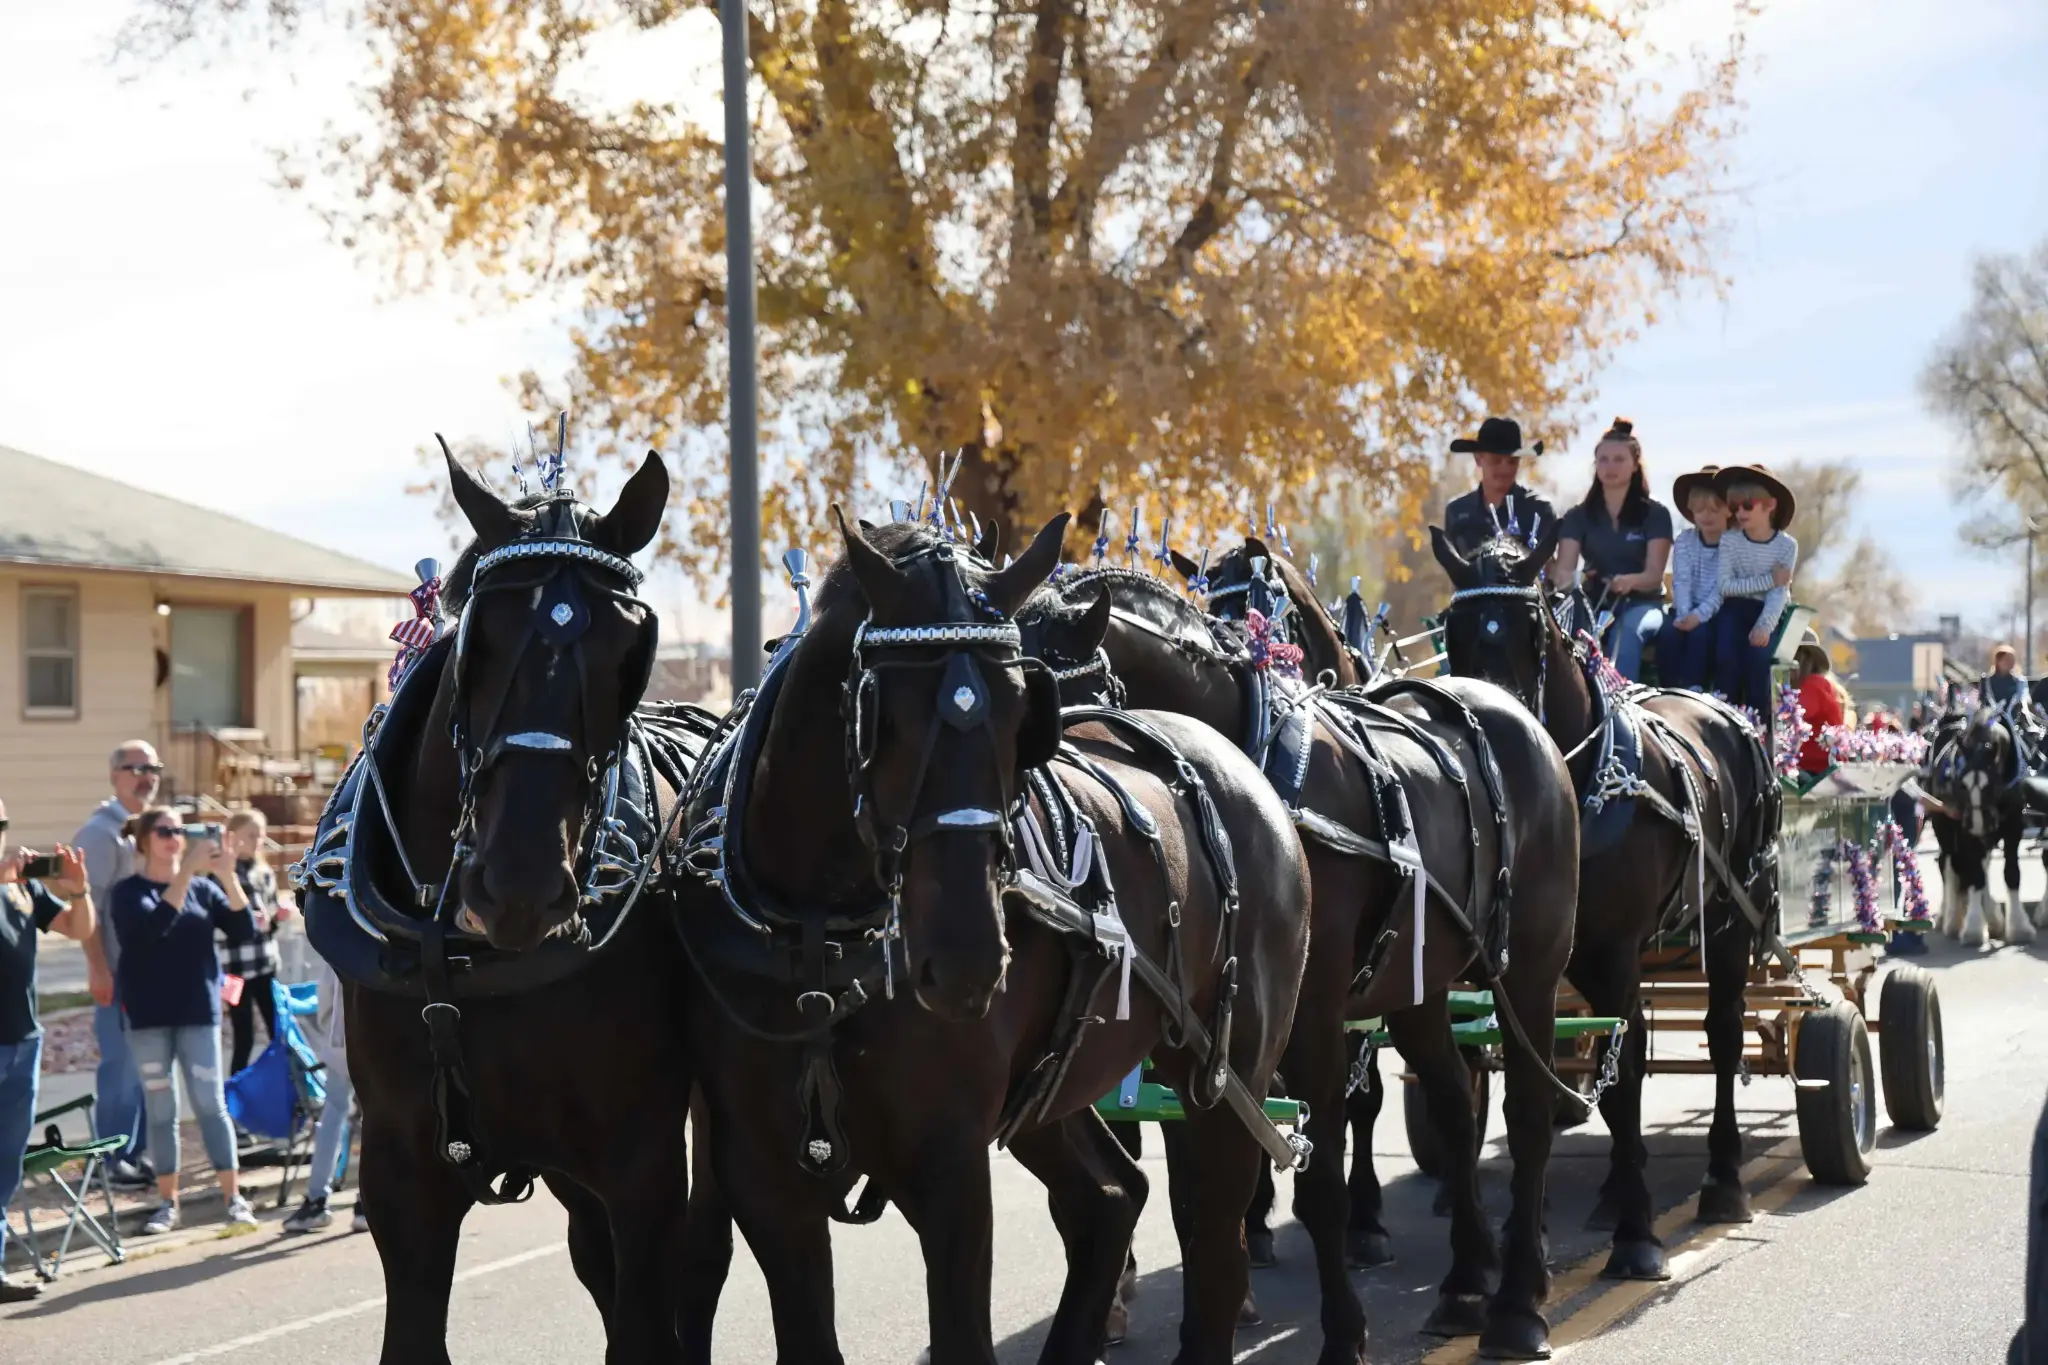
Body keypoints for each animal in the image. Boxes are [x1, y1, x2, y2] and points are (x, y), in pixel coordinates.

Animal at [298, 448, 714, 1364]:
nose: (521, 883)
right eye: (477, 638)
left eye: (630, 647)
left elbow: (646, 1324)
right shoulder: (402, 1178)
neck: (463, 961)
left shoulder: (643, 1163)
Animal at [671, 513, 1313, 1365]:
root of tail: (1246, 775)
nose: (968, 960)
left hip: (1224, 1077)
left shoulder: (949, 1167)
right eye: (884, 717)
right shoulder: (763, 1175)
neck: (818, 942)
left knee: (1212, 1250)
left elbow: (963, 1335)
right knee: (1110, 1197)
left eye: (1017, 716)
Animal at [1035, 544, 1582, 1363]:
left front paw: (1344, 1334)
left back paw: (1519, 1298)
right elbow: (1200, 1191)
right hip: (1417, 985)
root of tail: (1517, 715)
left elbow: (1319, 1175)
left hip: (1533, 969)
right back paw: (1465, 1281)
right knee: (1456, 1108)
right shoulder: (1208, 1033)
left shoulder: (1313, 1014)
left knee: (1527, 1114)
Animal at [1432, 525, 1784, 1279]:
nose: (1490, 726)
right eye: (1453, 626)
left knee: (1722, 1034)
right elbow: (1538, 1080)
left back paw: (1722, 1179)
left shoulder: (1614, 949)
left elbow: (1623, 1081)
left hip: (1732, 916)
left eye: (1532, 627)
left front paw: (1636, 1234)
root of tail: (1726, 710)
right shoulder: (1528, 962)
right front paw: (1532, 1231)